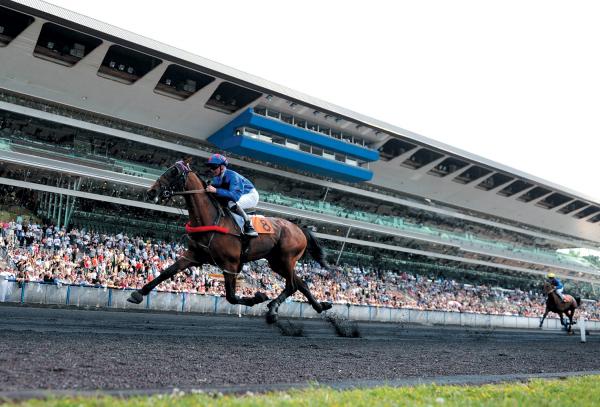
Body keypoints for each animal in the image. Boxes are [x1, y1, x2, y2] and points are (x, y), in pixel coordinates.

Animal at [126, 161, 332, 324]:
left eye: (173, 172)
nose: (151, 191)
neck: (211, 219)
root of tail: (300, 229)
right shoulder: (193, 256)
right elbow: (166, 272)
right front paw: (138, 293)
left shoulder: (230, 264)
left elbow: (231, 296)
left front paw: (258, 296)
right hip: (277, 262)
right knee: (301, 284)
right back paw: (320, 306)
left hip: (287, 258)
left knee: (292, 285)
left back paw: (273, 309)